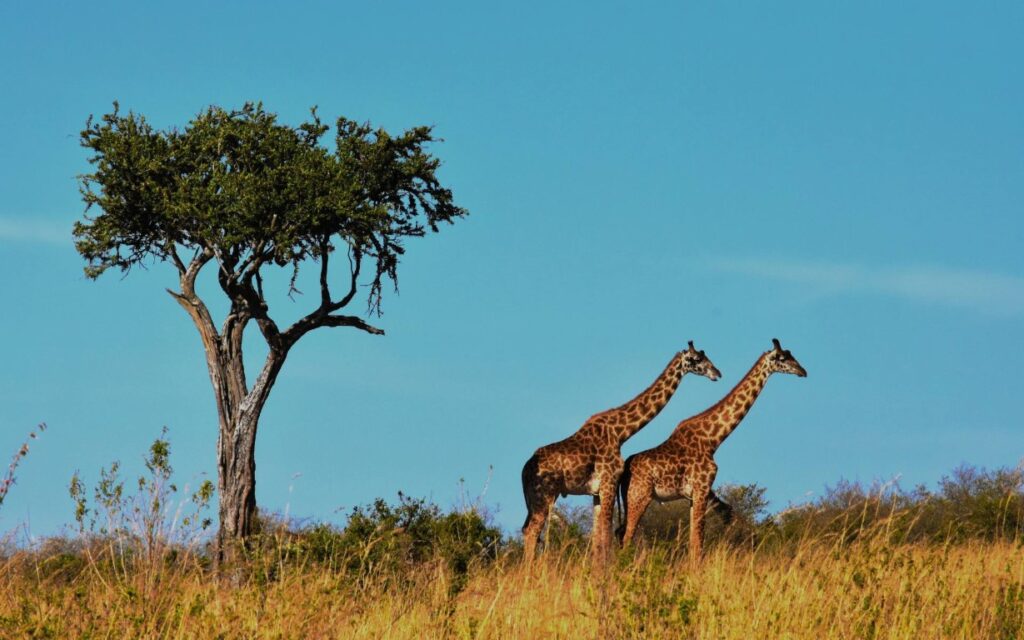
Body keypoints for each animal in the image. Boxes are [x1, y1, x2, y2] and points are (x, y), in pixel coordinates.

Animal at [520, 342, 720, 561]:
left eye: (705, 356)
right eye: (697, 359)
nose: (717, 373)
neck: (620, 432)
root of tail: (524, 471)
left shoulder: (597, 491)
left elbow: (598, 537)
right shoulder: (609, 482)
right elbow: (606, 535)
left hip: (533, 499)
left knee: (526, 529)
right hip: (545, 495)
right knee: (532, 531)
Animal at [614, 337, 806, 561]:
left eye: (792, 354)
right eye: (782, 358)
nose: (803, 371)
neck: (713, 439)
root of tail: (625, 471)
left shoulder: (695, 494)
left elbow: (695, 540)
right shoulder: (702, 488)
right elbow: (698, 542)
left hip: (629, 498)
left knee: (620, 532)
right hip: (639, 495)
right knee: (627, 534)